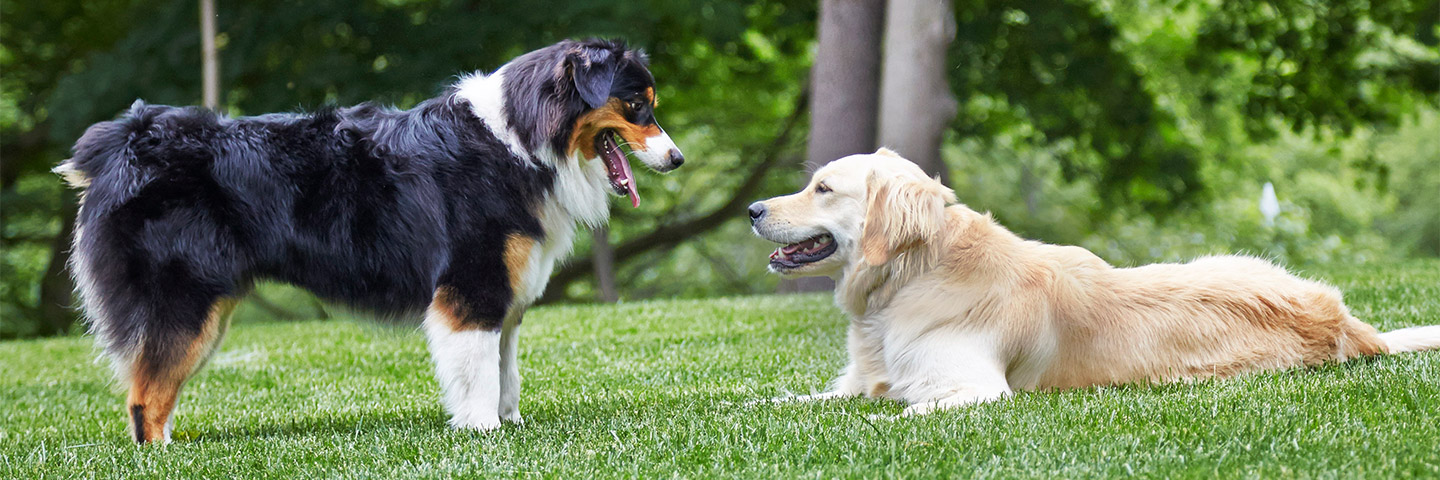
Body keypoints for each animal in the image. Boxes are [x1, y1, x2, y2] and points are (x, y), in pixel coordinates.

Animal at [57, 37, 685, 441]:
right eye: (637, 104)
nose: (678, 159)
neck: (523, 138)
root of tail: (125, 142)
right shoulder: (473, 285)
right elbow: (478, 368)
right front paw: (482, 431)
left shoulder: (507, 293)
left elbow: (506, 368)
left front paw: (510, 423)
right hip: (185, 301)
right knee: (145, 398)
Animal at [748, 147, 1440, 412]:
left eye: (822, 188)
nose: (753, 209)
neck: (907, 281)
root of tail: (1348, 324)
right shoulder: (855, 380)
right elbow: (786, 402)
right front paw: (750, 405)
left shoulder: (974, 390)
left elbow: (892, 410)